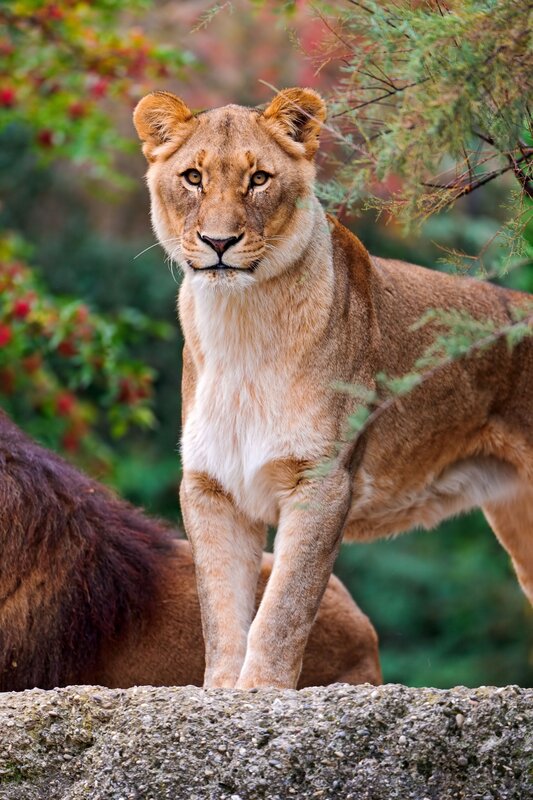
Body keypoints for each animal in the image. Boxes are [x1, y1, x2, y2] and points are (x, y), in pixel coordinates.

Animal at [133, 87, 533, 690]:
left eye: (259, 179)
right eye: (193, 177)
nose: (219, 242)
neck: (240, 321)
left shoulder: (322, 478)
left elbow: (284, 606)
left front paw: (262, 690)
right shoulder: (212, 485)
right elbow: (220, 608)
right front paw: (221, 690)